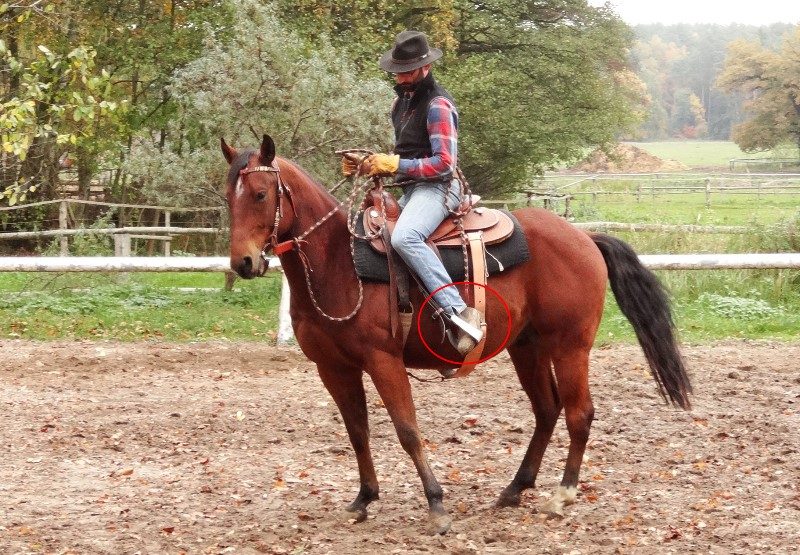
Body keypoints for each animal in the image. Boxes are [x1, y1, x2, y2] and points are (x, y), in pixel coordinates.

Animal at [222, 134, 692, 536]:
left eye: (260, 194)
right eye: (229, 196)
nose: (243, 262)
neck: (340, 262)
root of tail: (584, 238)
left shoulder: (383, 360)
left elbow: (407, 430)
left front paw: (436, 506)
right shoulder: (333, 368)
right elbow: (357, 431)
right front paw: (363, 499)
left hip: (570, 346)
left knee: (579, 413)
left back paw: (561, 496)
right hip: (527, 348)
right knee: (546, 410)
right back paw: (515, 489)